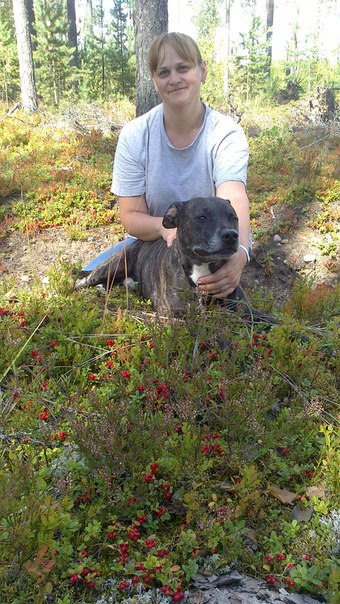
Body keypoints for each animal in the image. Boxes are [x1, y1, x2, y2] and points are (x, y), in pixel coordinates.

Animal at [75, 197, 272, 320]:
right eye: (202, 217)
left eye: (234, 218)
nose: (231, 235)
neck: (201, 269)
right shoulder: (178, 316)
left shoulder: (247, 309)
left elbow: (270, 321)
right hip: (112, 266)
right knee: (85, 280)